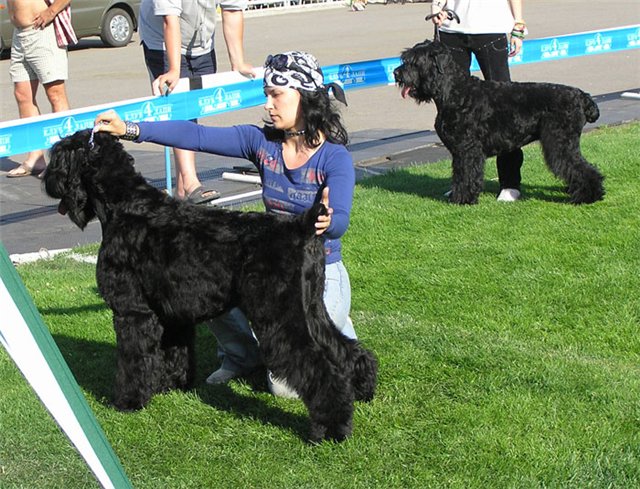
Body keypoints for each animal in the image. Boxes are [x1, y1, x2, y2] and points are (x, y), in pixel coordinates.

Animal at [45, 130, 378, 442]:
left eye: (59, 155)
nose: (47, 179)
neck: (125, 205)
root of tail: (302, 225)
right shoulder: (170, 313)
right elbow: (173, 350)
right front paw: (171, 385)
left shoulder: (132, 312)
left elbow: (133, 358)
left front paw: (128, 401)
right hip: (311, 310)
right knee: (345, 350)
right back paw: (363, 390)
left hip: (280, 319)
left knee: (320, 367)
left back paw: (332, 429)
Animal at [396, 39, 604, 204]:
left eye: (414, 61)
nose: (396, 74)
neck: (455, 92)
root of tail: (582, 97)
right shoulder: (459, 152)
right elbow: (458, 174)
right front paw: (457, 195)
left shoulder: (467, 150)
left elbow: (466, 175)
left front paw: (462, 199)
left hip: (560, 144)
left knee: (581, 168)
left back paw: (588, 196)